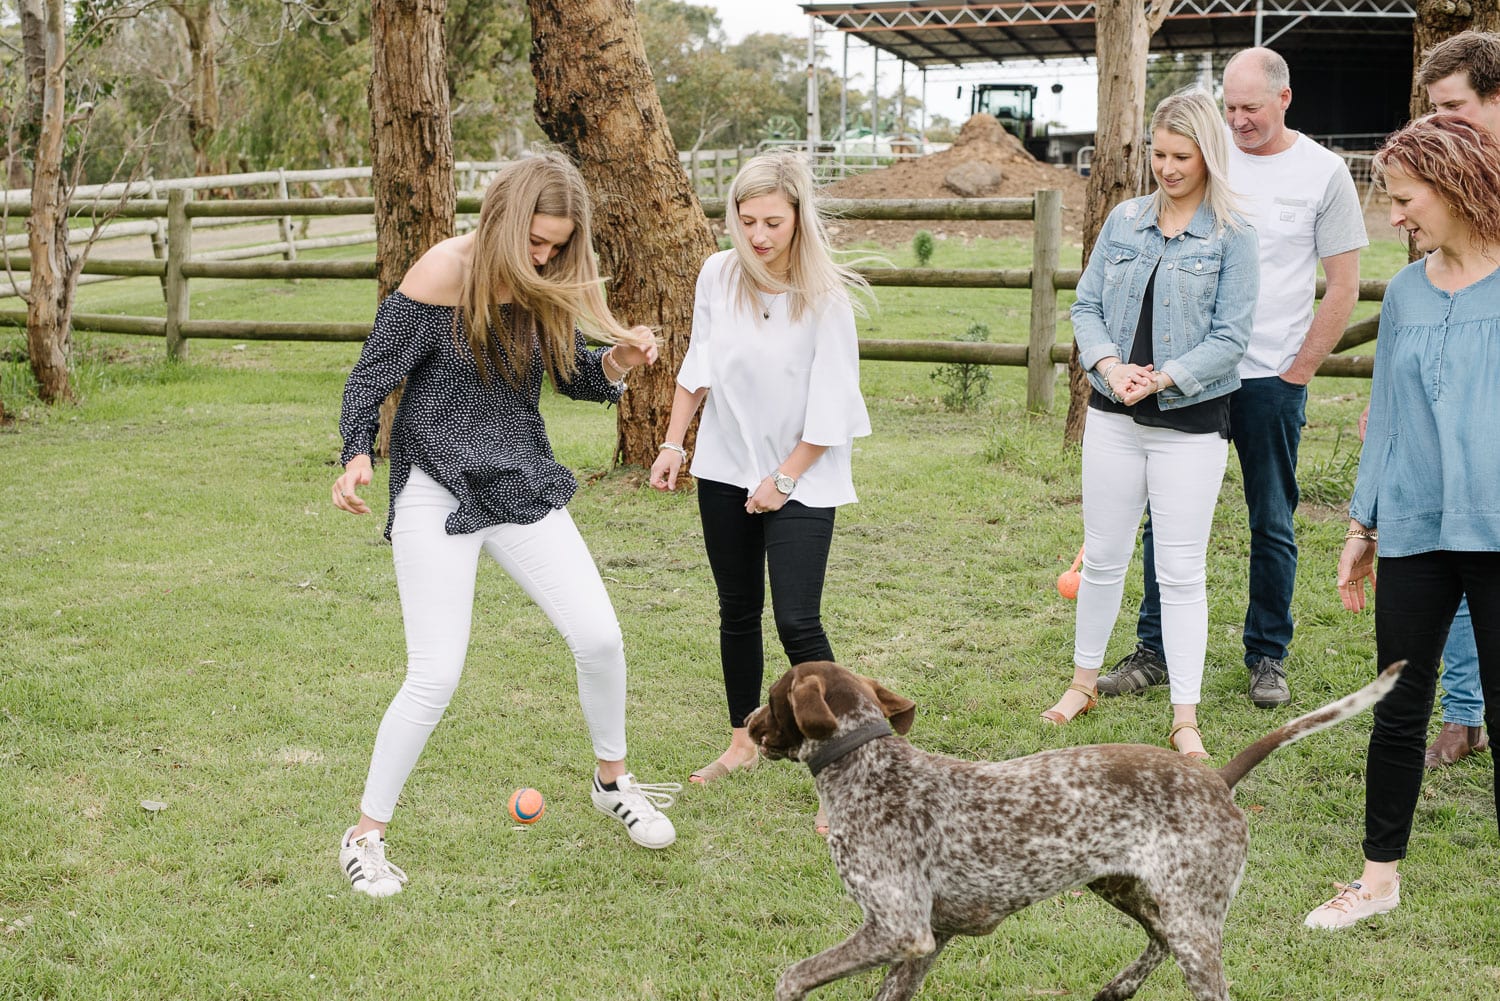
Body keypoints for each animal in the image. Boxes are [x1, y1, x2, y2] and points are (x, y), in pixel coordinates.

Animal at [750, 660, 1404, 1001]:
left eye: (772, 697)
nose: (749, 724)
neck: (868, 768)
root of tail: (1218, 779)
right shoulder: (925, 940)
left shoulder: (899, 928)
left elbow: (793, 975)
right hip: (1127, 889)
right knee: (1156, 940)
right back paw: (1119, 986)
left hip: (1191, 923)